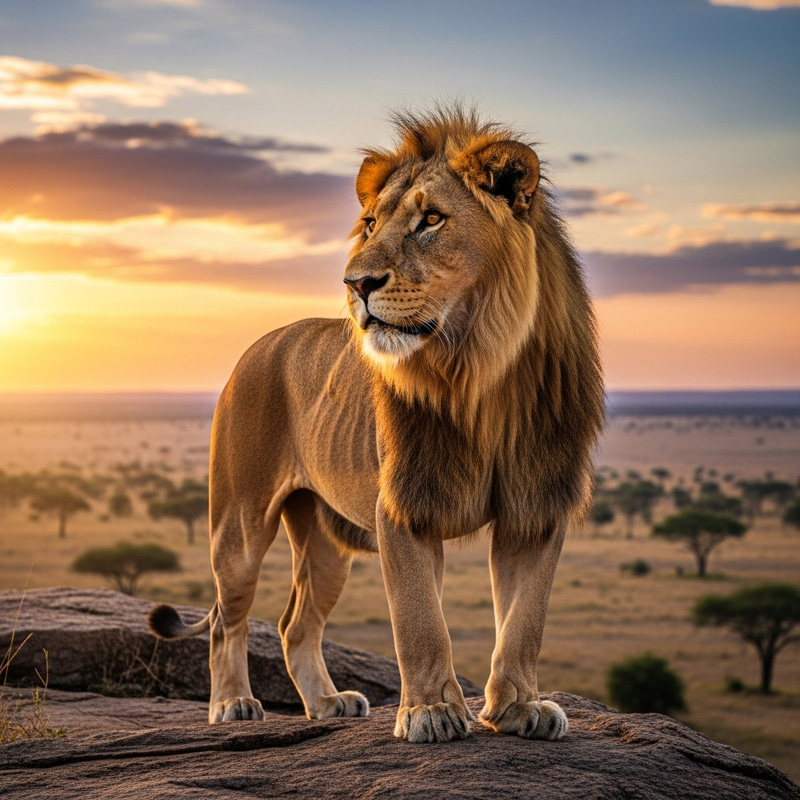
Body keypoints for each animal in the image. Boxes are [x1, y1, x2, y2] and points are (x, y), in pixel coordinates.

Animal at [148, 106, 604, 744]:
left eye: (431, 219)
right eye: (368, 225)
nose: (355, 283)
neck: (482, 375)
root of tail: (259, 345)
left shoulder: (536, 506)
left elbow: (524, 620)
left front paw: (520, 708)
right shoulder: (406, 504)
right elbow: (420, 621)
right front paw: (431, 712)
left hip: (324, 538)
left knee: (294, 623)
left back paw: (327, 702)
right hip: (238, 524)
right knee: (225, 620)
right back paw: (233, 704)